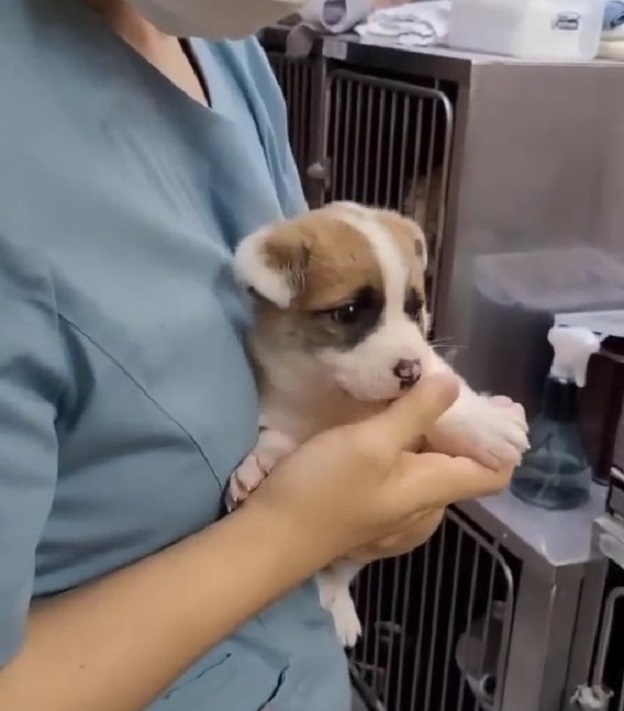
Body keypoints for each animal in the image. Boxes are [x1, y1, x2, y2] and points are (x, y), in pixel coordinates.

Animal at [224, 202, 528, 652]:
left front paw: (487, 423)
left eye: (415, 307)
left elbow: (447, 393)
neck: (335, 397)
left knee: (343, 570)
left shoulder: (430, 371)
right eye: (348, 312)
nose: (410, 371)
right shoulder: (285, 406)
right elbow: (277, 437)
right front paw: (257, 465)